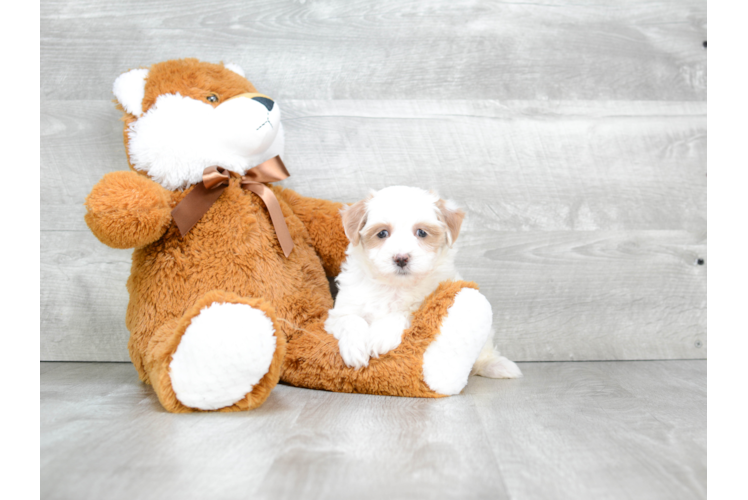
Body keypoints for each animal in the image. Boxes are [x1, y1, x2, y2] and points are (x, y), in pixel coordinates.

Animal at [324, 186, 524, 380]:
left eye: (421, 232)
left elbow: (405, 313)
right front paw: (354, 348)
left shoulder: (426, 302)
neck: (394, 286)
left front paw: (381, 335)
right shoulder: (339, 312)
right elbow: (350, 319)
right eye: (382, 233)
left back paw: (497, 365)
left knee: (483, 354)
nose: (401, 258)